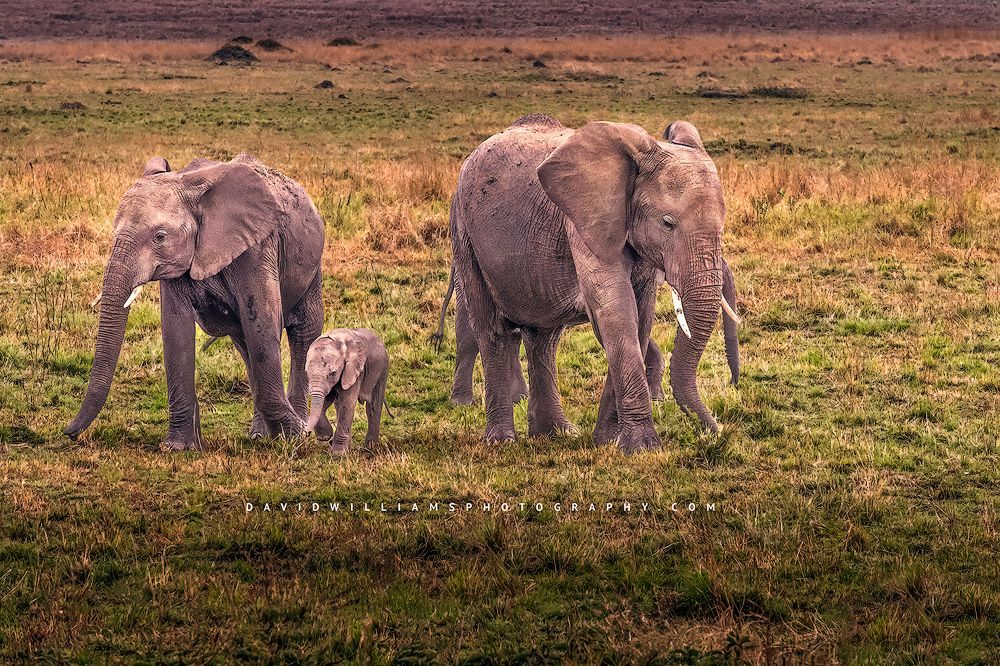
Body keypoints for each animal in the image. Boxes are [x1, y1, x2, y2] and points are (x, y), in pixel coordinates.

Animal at [64, 153, 326, 450]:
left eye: (160, 237)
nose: (69, 433)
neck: (188, 185)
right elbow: (176, 329)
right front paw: (178, 448)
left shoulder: (257, 247)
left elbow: (261, 322)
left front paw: (294, 436)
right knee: (244, 343)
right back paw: (261, 435)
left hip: (311, 263)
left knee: (303, 333)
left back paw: (297, 428)